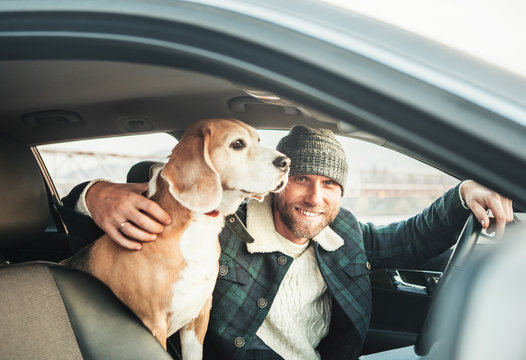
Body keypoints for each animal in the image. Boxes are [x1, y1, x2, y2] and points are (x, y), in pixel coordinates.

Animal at [67, 118, 290, 358]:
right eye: (237, 144)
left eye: (258, 140)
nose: (286, 162)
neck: (198, 229)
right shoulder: (154, 324)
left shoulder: (199, 317)